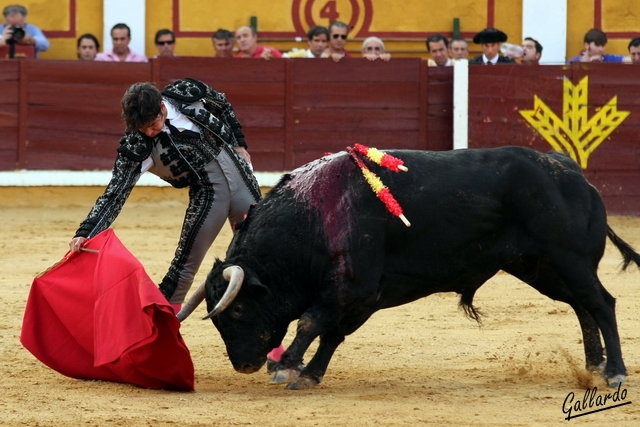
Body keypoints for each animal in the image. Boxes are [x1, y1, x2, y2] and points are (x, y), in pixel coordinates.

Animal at [176, 147, 640, 392]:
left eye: (237, 310)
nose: (244, 365)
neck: (315, 214)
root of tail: (577, 174)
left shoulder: (352, 285)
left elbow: (311, 322)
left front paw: (288, 366)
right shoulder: (366, 296)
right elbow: (332, 333)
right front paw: (310, 373)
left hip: (567, 259)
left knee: (602, 303)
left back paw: (614, 371)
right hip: (540, 267)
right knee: (583, 306)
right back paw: (593, 366)